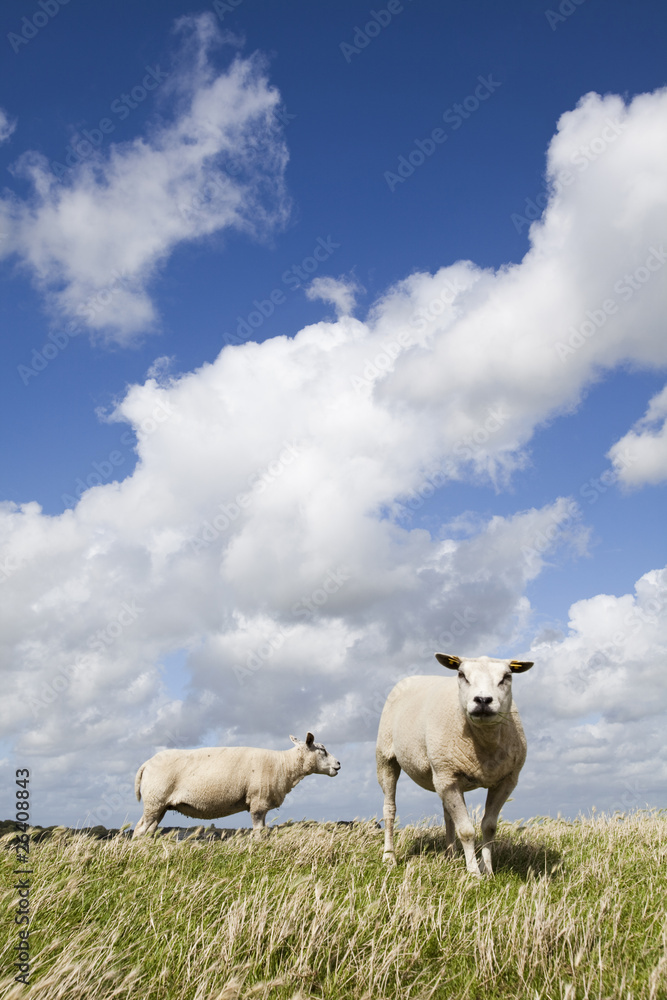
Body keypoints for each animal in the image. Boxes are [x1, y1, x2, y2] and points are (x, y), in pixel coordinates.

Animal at [133, 732, 340, 838]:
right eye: (322, 750)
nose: (338, 764)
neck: (284, 765)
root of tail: (147, 764)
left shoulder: (262, 805)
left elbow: (264, 831)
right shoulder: (258, 803)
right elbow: (258, 833)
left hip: (160, 806)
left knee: (148, 830)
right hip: (155, 801)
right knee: (139, 830)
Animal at [376, 653, 533, 875]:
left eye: (507, 676)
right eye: (461, 674)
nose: (483, 700)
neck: (484, 745)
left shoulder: (506, 781)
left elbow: (489, 826)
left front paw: (487, 869)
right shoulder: (448, 777)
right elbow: (466, 830)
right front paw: (474, 873)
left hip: (443, 774)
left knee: (447, 814)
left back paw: (450, 855)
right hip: (387, 758)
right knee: (389, 810)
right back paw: (389, 857)